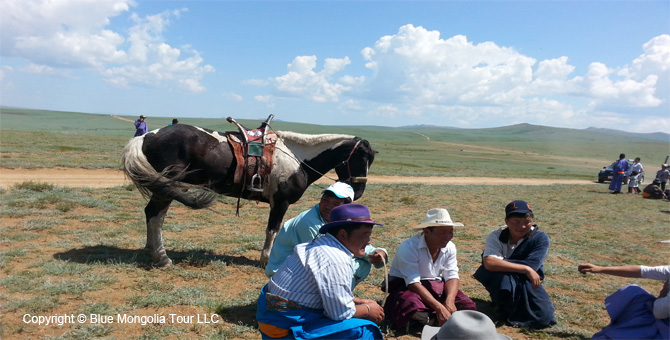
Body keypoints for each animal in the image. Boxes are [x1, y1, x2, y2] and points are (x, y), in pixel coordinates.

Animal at [121, 123, 378, 266]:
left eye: (371, 160)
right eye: (360, 158)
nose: (359, 191)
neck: (297, 159)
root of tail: (146, 136)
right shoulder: (280, 202)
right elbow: (272, 230)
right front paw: (265, 259)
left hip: (163, 187)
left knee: (153, 214)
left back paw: (151, 249)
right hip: (166, 188)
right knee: (155, 216)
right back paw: (162, 257)